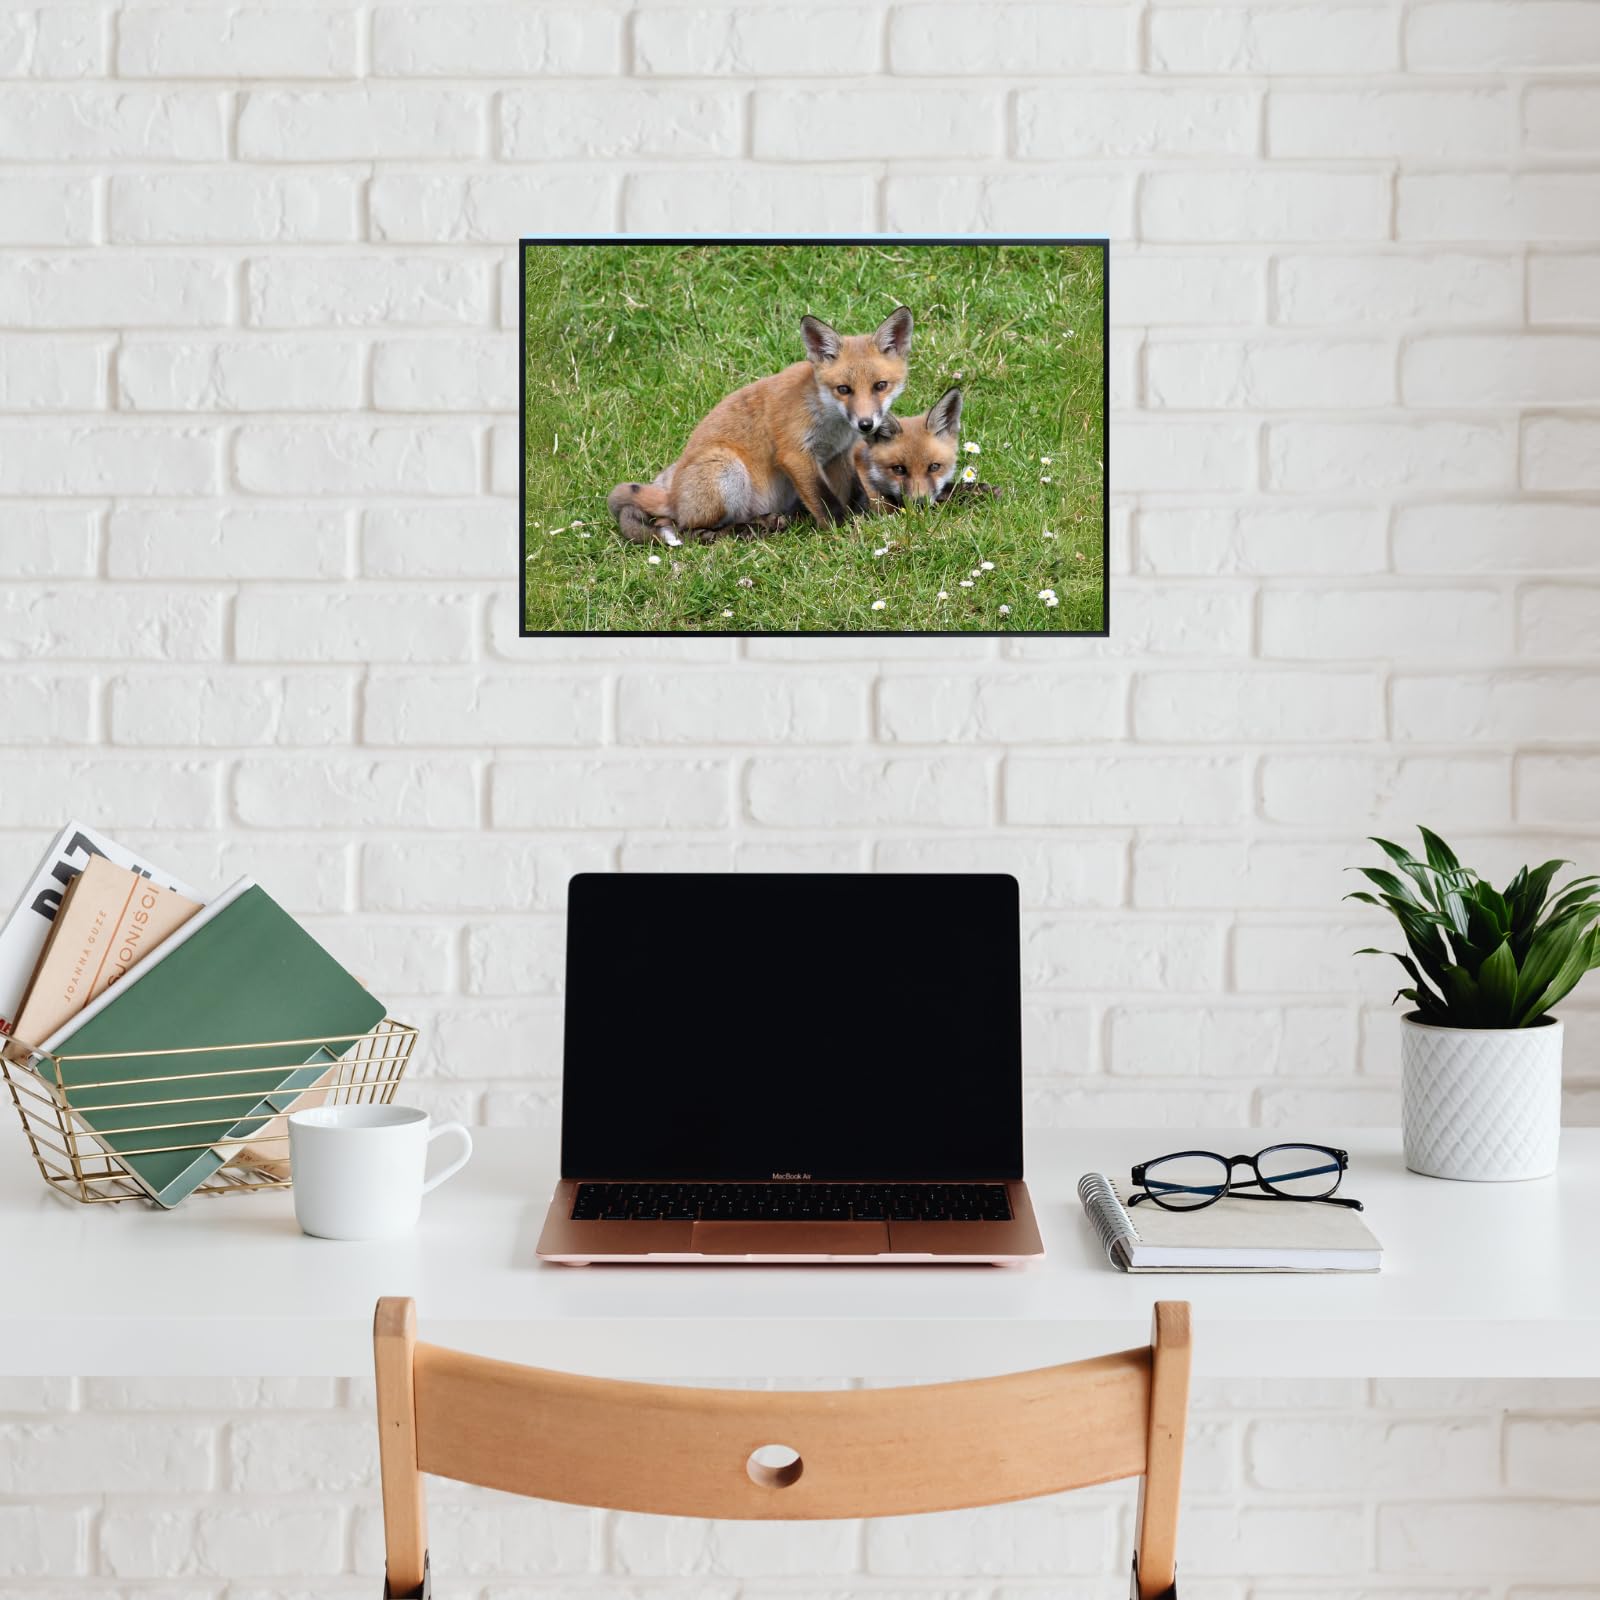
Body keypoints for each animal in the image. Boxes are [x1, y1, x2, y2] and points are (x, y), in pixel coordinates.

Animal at [607, 306, 913, 545]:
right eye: (844, 389)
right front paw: (846, 530)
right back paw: (743, 531)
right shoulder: (795, 454)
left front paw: (866, 517)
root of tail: (671, 496)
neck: (829, 418)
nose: (866, 424)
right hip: (726, 469)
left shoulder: (838, 454)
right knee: (686, 528)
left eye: (880, 386)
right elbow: (825, 501)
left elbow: (853, 492)